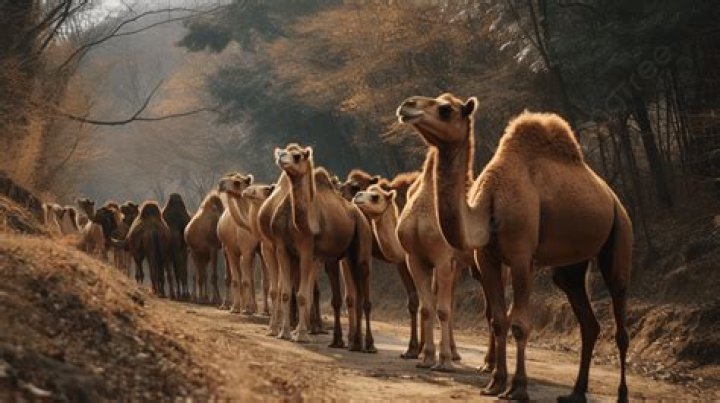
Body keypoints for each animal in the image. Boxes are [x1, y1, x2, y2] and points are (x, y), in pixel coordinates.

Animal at [273, 143, 375, 351]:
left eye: (297, 156)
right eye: (282, 152)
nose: (281, 158)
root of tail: (359, 214)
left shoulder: (307, 250)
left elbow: (303, 295)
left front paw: (301, 335)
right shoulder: (282, 249)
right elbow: (286, 293)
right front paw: (284, 333)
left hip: (362, 245)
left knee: (365, 292)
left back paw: (368, 345)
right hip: (343, 257)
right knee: (354, 294)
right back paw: (351, 343)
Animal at [397, 94, 633, 402]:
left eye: (445, 109)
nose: (406, 106)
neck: (489, 203)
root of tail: (613, 198)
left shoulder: (521, 257)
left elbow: (519, 324)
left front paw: (518, 388)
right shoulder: (486, 258)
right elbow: (499, 320)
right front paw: (495, 383)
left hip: (619, 234)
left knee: (620, 313)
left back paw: (621, 395)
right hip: (572, 265)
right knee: (587, 321)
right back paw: (575, 393)